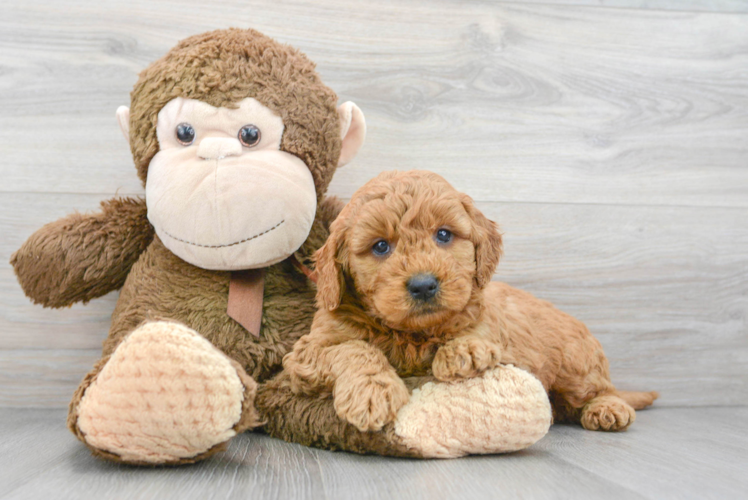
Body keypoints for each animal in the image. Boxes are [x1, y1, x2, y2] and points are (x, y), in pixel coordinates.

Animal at [284, 170, 656, 432]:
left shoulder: (490, 319)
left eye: (444, 234)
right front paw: (374, 391)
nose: (423, 285)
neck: (411, 334)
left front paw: (464, 350)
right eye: (380, 246)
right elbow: (353, 348)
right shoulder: (308, 352)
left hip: (576, 366)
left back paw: (608, 408)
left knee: (600, 389)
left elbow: (479, 326)